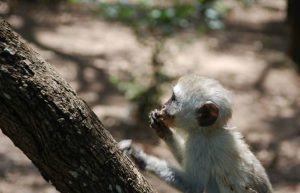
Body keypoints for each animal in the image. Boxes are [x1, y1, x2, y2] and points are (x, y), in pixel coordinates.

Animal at [119, 74, 272, 193]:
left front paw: (139, 156)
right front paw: (164, 131)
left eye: (173, 99)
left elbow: (193, 185)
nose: (164, 105)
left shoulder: (199, 144)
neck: (208, 131)